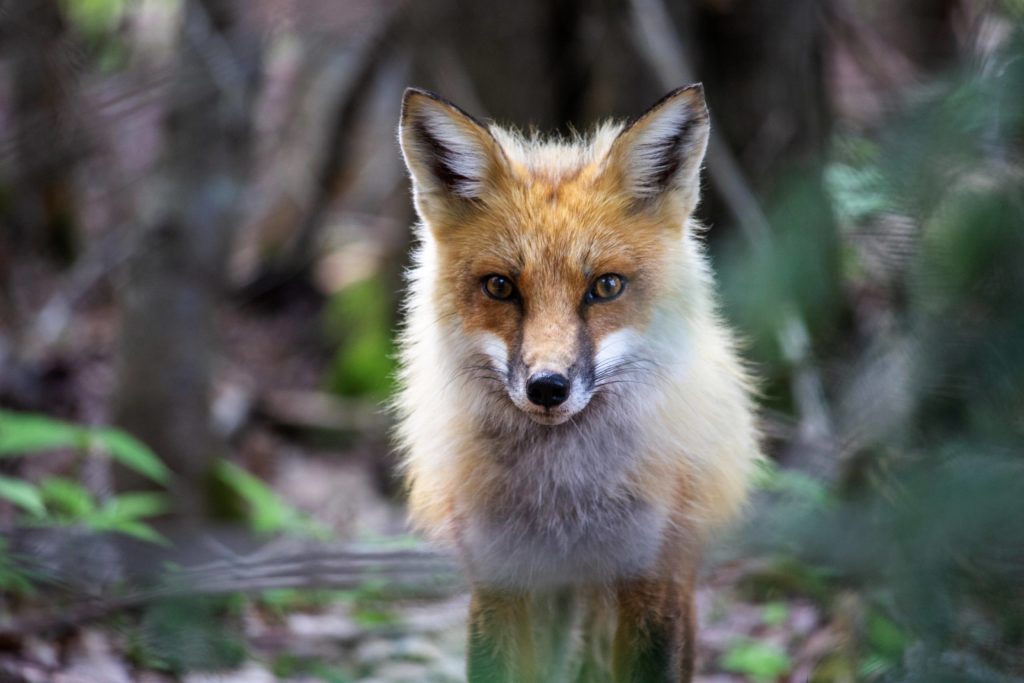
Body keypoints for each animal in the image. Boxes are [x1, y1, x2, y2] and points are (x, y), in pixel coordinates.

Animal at [391, 82, 761, 679]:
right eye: (500, 287)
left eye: (605, 287)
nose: (547, 387)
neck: (564, 497)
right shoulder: (499, 581)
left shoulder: (650, 578)